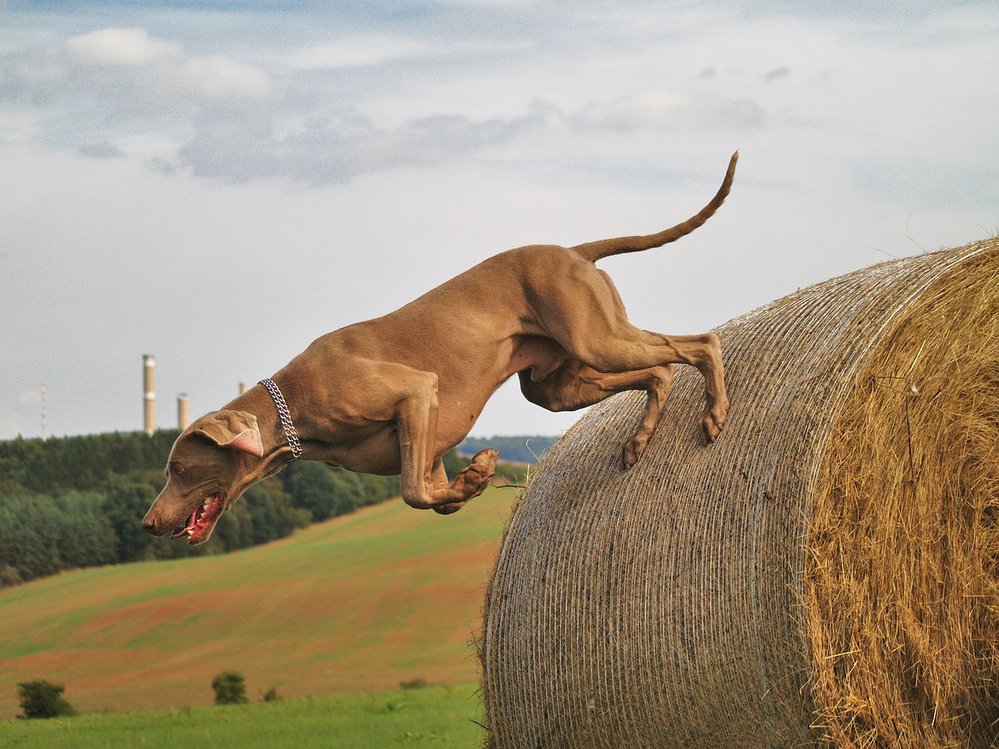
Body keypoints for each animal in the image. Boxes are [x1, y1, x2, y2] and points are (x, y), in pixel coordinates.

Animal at [143, 155, 736, 548]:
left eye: (179, 468)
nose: (148, 522)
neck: (294, 405)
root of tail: (574, 251)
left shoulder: (416, 393)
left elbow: (411, 492)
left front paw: (477, 474)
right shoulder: (426, 446)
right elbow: (434, 496)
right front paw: (473, 481)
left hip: (597, 340)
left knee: (699, 343)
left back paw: (714, 414)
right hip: (555, 384)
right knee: (659, 371)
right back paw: (638, 442)